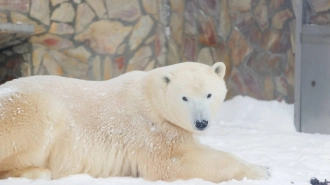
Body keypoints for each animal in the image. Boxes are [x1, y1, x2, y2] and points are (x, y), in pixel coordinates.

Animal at [0, 61, 270, 182]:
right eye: (184, 97)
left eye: (209, 94)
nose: (201, 123)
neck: (150, 95)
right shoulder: (150, 130)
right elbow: (174, 163)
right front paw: (260, 171)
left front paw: (261, 165)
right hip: (27, 109)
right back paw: (37, 171)